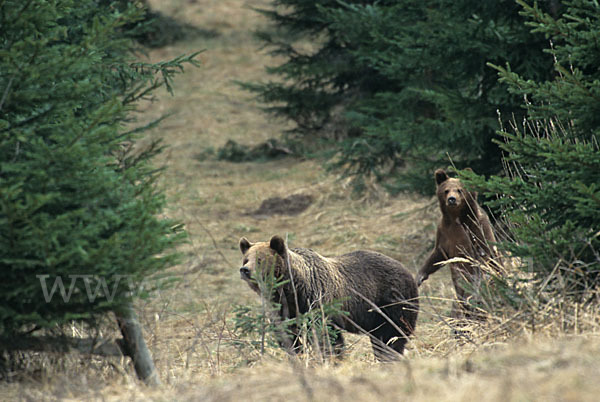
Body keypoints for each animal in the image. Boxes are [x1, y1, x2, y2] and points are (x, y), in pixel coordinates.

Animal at [238, 234, 418, 360]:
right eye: (246, 259)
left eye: (260, 259)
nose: (245, 270)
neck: (292, 290)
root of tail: (408, 272)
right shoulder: (282, 310)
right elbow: (289, 337)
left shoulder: (318, 302)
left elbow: (327, 337)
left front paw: (331, 359)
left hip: (392, 303)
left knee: (391, 336)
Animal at [418, 168, 496, 318]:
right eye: (446, 190)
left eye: (459, 190)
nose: (452, 199)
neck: (456, 218)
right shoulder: (445, 234)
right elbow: (437, 255)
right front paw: (420, 276)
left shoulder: (477, 229)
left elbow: (483, 256)